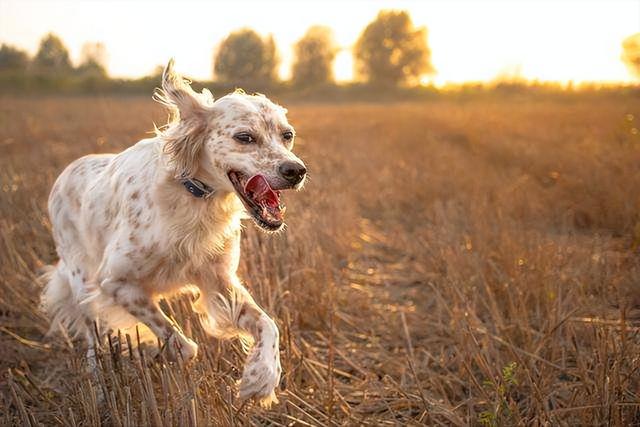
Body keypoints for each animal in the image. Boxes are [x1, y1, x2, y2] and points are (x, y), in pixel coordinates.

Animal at [40, 60, 308, 408]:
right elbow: (182, 345)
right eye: (244, 137)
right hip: (82, 284)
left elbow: (267, 324)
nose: (296, 171)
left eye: (287, 135)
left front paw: (261, 377)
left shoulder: (219, 282)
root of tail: (67, 170)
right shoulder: (115, 282)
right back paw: (99, 392)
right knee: (92, 346)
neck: (193, 200)